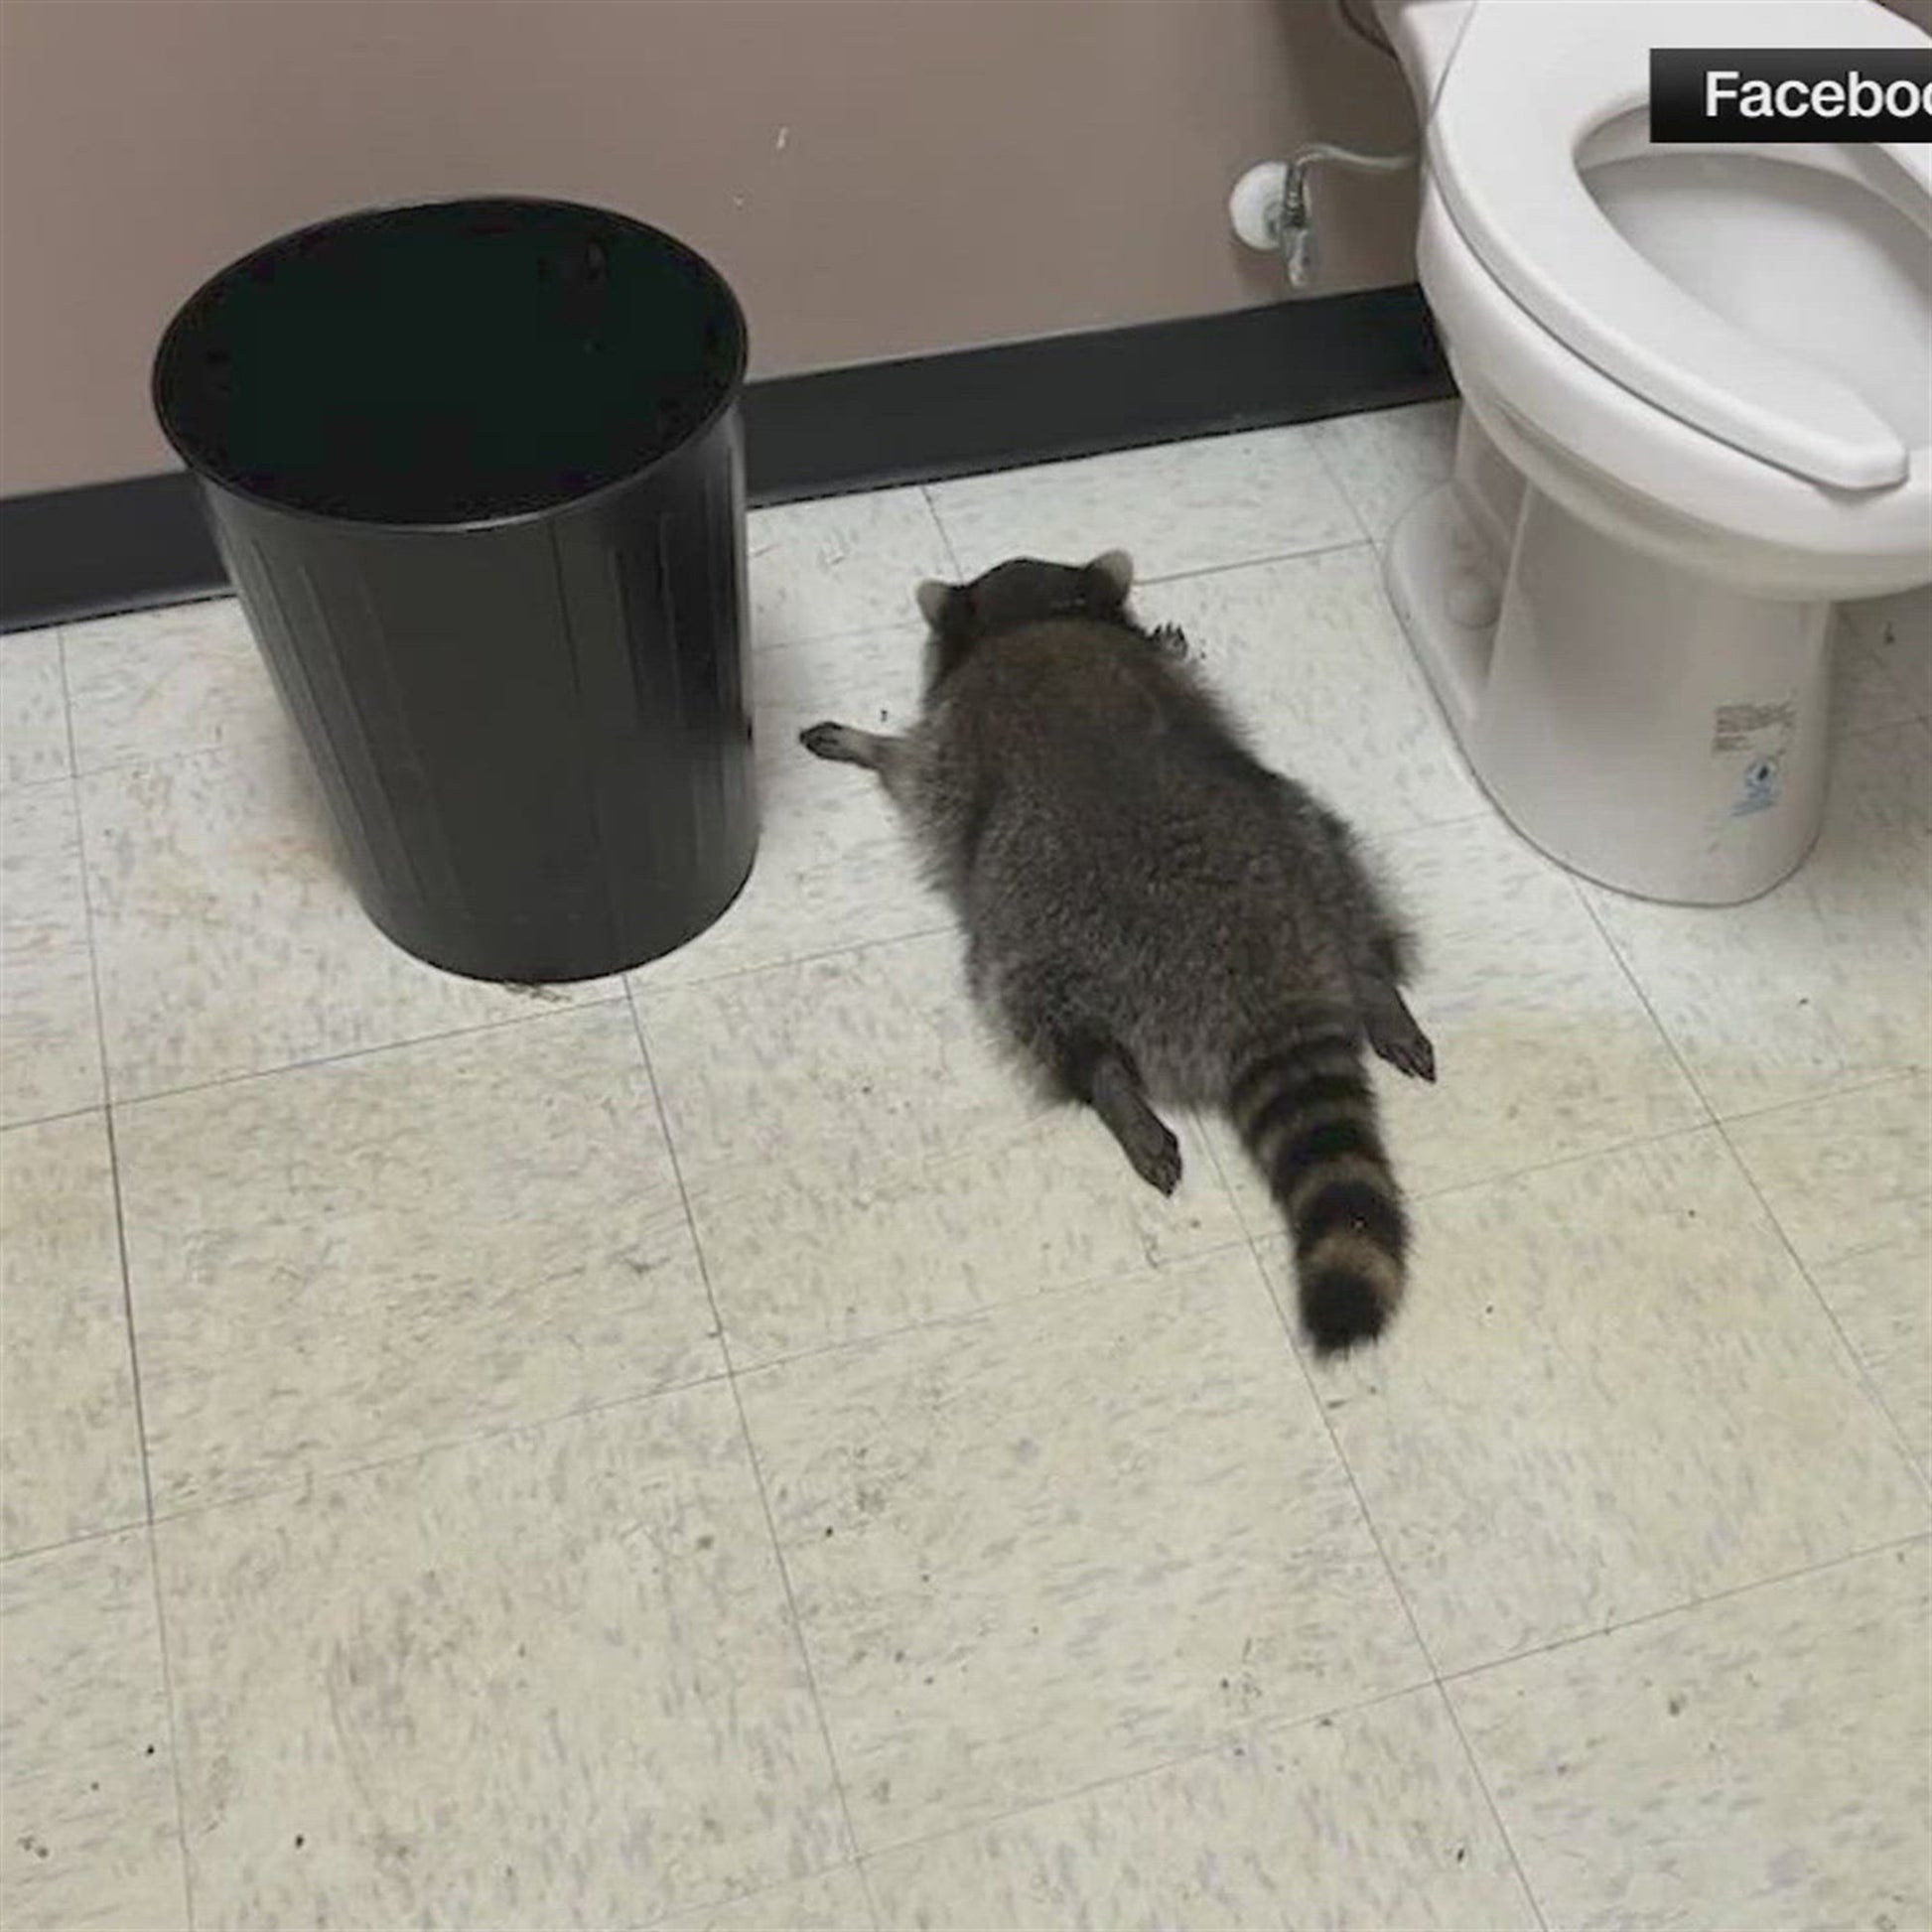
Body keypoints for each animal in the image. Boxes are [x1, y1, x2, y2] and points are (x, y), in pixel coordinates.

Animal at [799, 550, 1434, 1355]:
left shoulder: (952, 742)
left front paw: (868, 744)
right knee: (1343, 875)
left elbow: (913, 769)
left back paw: (1110, 1086)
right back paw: (1374, 983)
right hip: (1307, 839)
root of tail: (1268, 981)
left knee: (1034, 1006)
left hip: (1046, 935)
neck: (1037, 617)